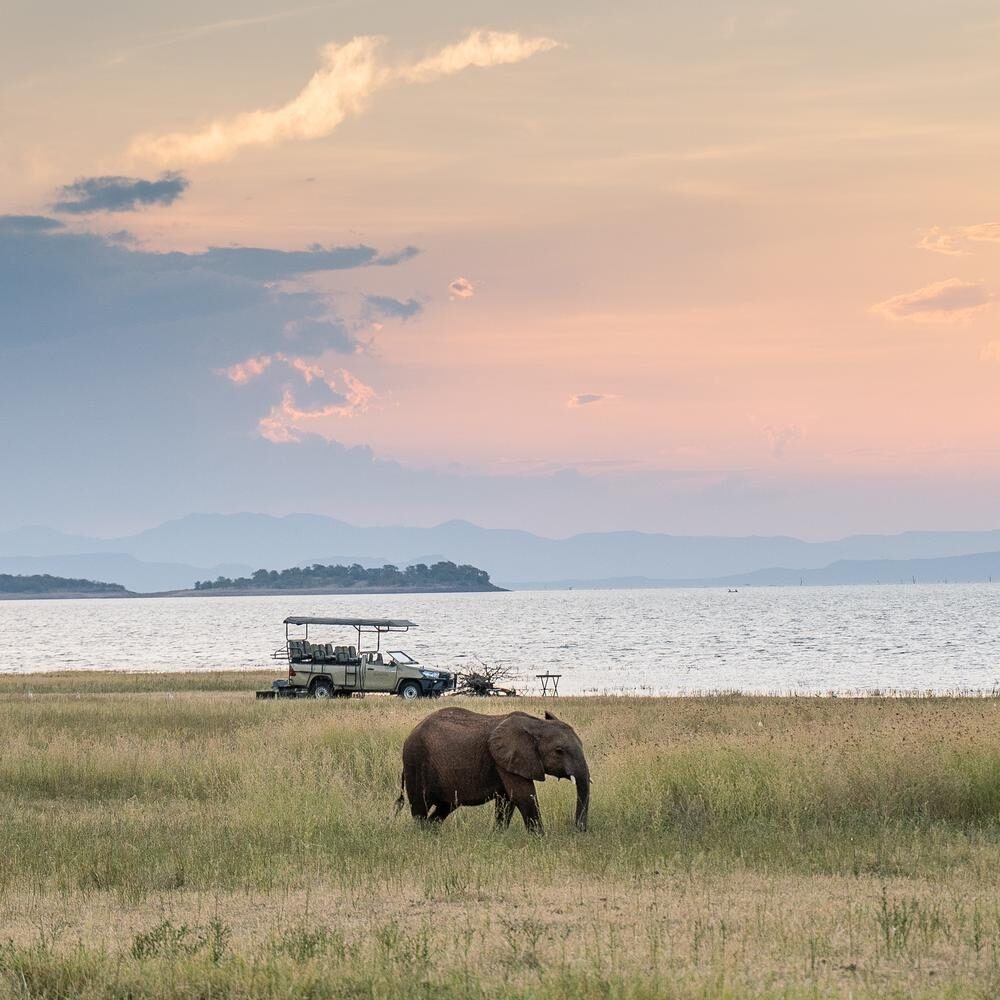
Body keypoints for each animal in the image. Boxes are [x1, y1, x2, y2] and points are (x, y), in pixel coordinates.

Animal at [396, 707, 590, 833]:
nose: (579, 831)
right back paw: (422, 835)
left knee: (445, 806)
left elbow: (507, 800)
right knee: (420, 805)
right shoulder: (506, 758)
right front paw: (540, 838)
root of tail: (409, 735)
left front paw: (498, 835)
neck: (536, 724)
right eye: (559, 751)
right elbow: (523, 795)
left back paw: (432, 833)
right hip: (416, 761)